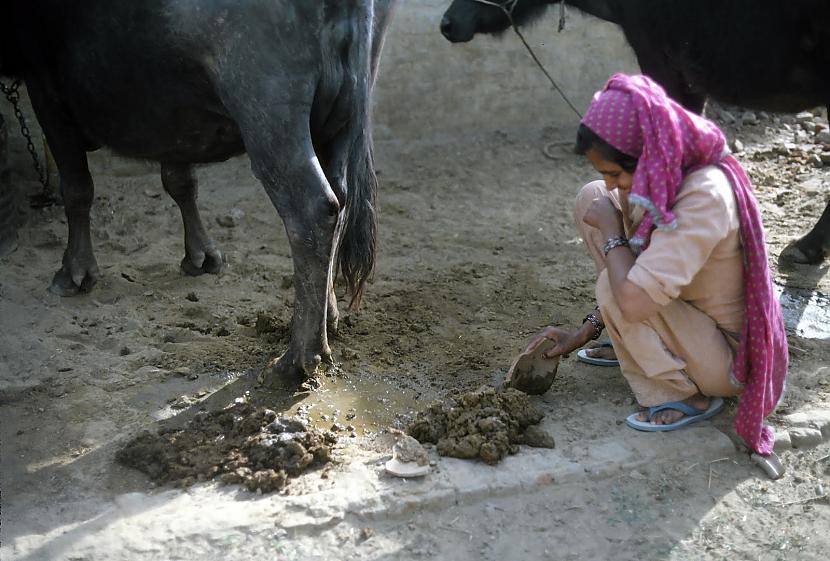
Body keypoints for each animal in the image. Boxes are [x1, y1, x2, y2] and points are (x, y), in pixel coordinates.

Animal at [0, 0, 400, 380]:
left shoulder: (46, 87)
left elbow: (77, 187)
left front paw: (75, 273)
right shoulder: (171, 112)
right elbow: (180, 180)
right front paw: (202, 256)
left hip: (269, 114)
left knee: (312, 210)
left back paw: (296, 360)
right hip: (343, 118)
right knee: (341, 200)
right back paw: (326, 316)